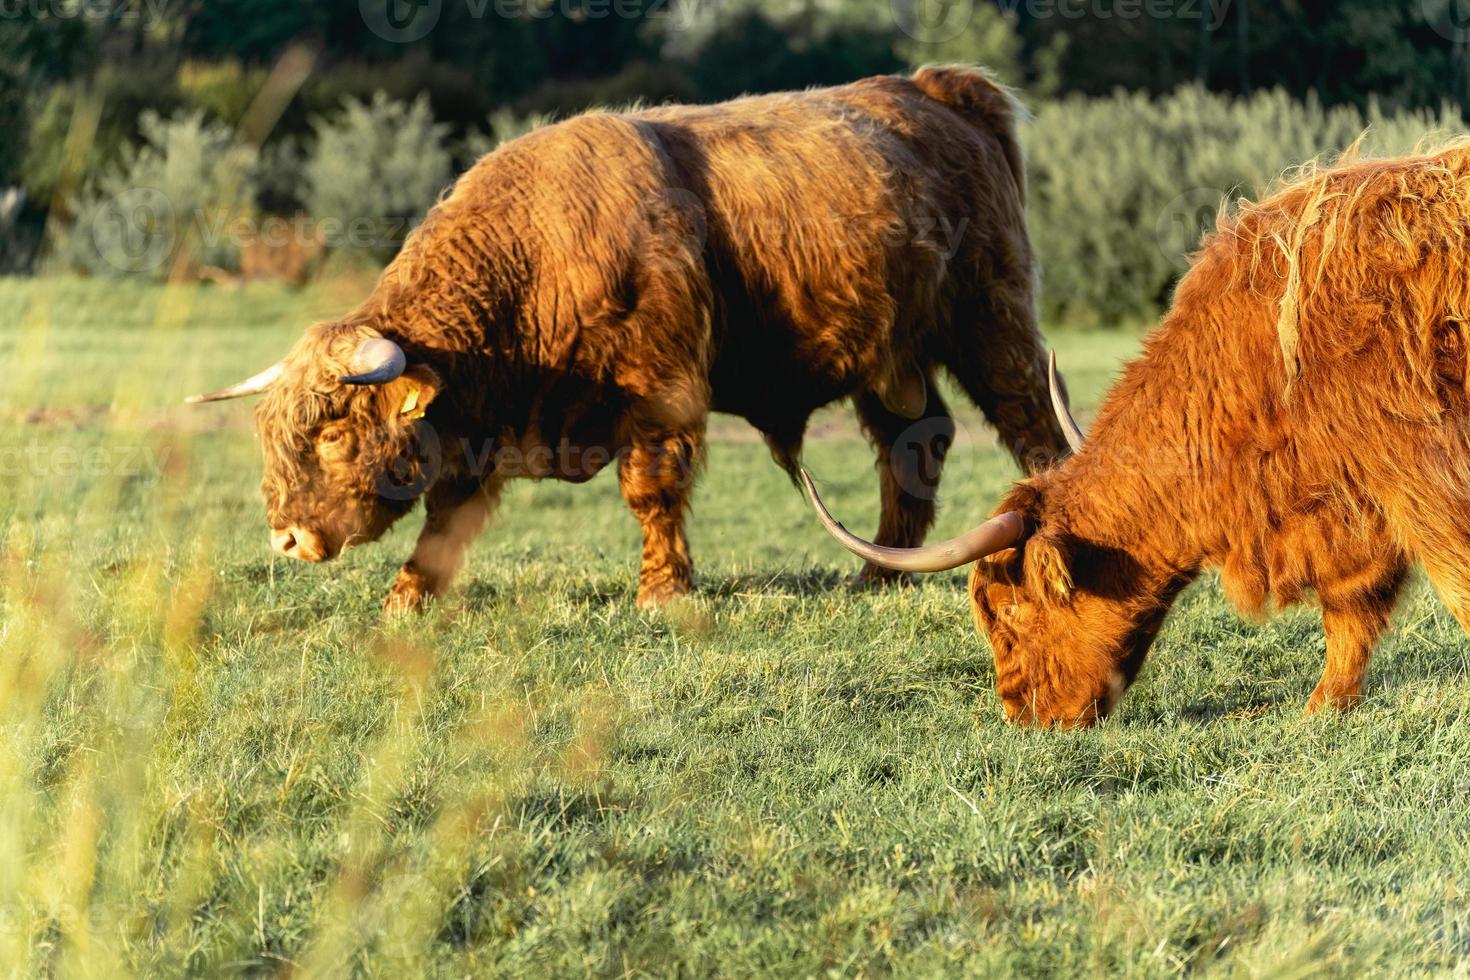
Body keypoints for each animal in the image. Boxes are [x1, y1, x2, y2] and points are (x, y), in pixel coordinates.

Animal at [186, 67, 1070, 605]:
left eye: (335, 436)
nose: (286, 538)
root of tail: (933, 88)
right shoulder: (480, 421)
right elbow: (448, 511)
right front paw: (408, 597)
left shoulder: (662, 390)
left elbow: (652, 489)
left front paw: (663, 592)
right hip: (889, 354)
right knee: (913, 442)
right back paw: (874, 574)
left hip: (992, 319)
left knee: (1030, 425)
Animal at [805, 143, 1470, 728]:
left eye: (1010, 609)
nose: (1021, 714)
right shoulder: (1351, 511)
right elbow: (1352, 611)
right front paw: (1323, 707)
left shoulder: (1422, 479)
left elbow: (1453, 583)